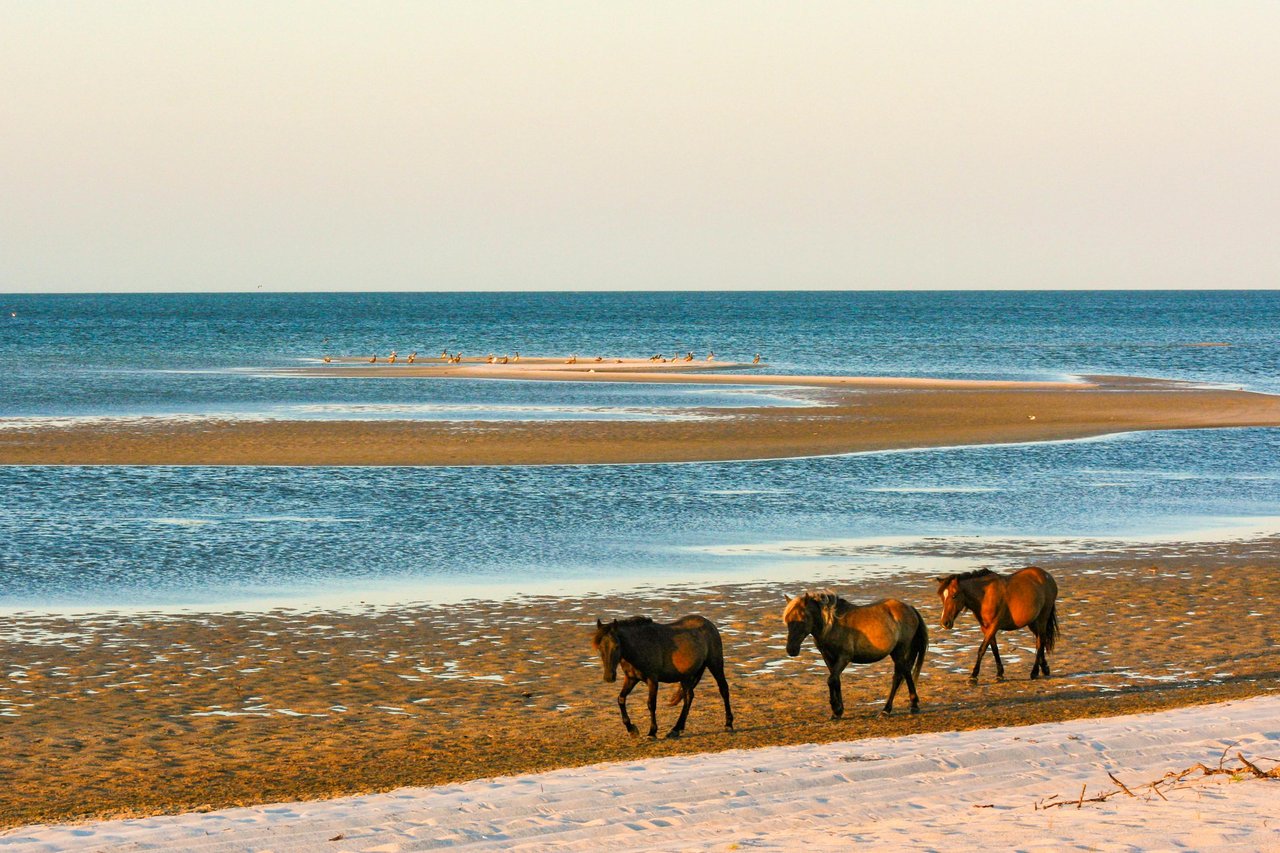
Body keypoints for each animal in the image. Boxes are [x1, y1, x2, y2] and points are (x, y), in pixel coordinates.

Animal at [588, 612, 732, 737]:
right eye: (600, 647)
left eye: (617, 646)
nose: (609, 677)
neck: (639, 646)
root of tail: (709, 624)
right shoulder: (631, 678)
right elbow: (621, 699)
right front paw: (632, 729)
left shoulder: (652, 680)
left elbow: (651, 704)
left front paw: (652, 732)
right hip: (686, 677)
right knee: (688, 697)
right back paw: (676, 729)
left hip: (715, 664)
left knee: (723, 689)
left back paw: (728, 724)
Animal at [783, 591, 926, 717]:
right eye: (788, 621)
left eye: (802, 619)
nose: (791, 649)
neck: (832, 624)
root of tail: (910, 608)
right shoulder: (828, 657)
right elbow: (836, 680)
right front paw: (838, 711)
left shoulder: (844, 657)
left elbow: (831, 680)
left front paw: (836, 709)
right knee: (905, 673)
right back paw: (912, 705)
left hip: (899, 651)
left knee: (899, 676)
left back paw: (888, 710)